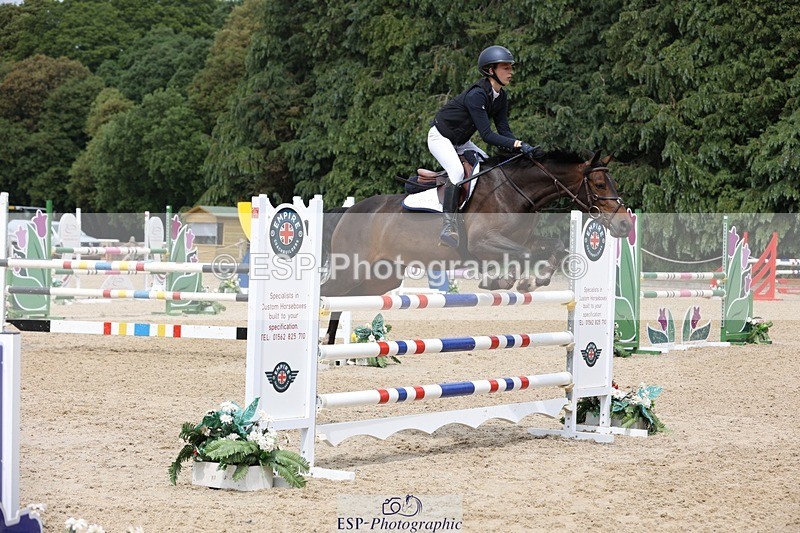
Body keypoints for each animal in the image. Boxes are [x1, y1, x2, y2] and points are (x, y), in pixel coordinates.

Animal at [320, 150, 633, 344]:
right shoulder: (483, 242)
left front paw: (535, 280)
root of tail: (349, 212)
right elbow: (522, 255)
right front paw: (505, 281)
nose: (624, 225)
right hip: (351, 270)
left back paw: (333, 347)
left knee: (343, 301)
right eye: (599, 183)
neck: (516, 193)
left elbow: (554, 246)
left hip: (380, 278)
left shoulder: (524, 239)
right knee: (327, 295)